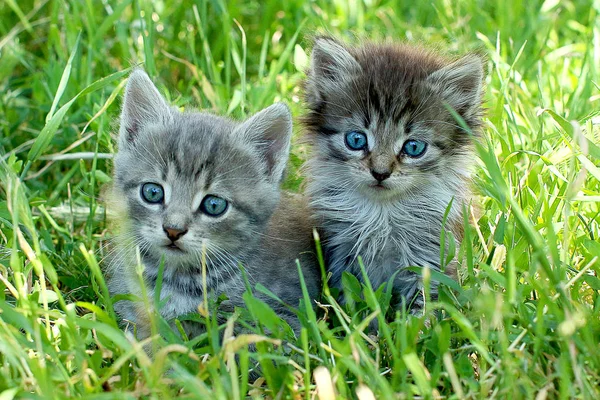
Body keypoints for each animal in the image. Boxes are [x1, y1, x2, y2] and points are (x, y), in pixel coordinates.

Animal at [302, 37, 486, 310]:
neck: (383, 213)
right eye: (356, 140)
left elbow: (426, 303)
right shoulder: (340, 250)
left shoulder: (432, 255)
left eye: (414, 147)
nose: (380, 173)